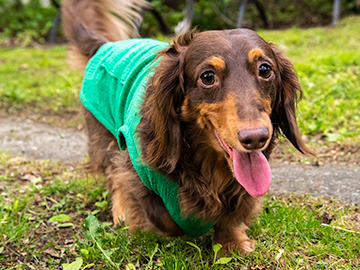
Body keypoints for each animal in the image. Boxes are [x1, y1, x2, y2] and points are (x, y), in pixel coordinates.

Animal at [61, 0, 312, 253]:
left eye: (265, 70)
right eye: (208, 77)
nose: (255, 138)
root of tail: (106, 45)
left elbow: (235, 209)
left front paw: (231, 242)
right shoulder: (136, 167)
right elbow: (163, 217)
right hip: (104, 135)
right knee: (112, 174)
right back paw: (121, 210)